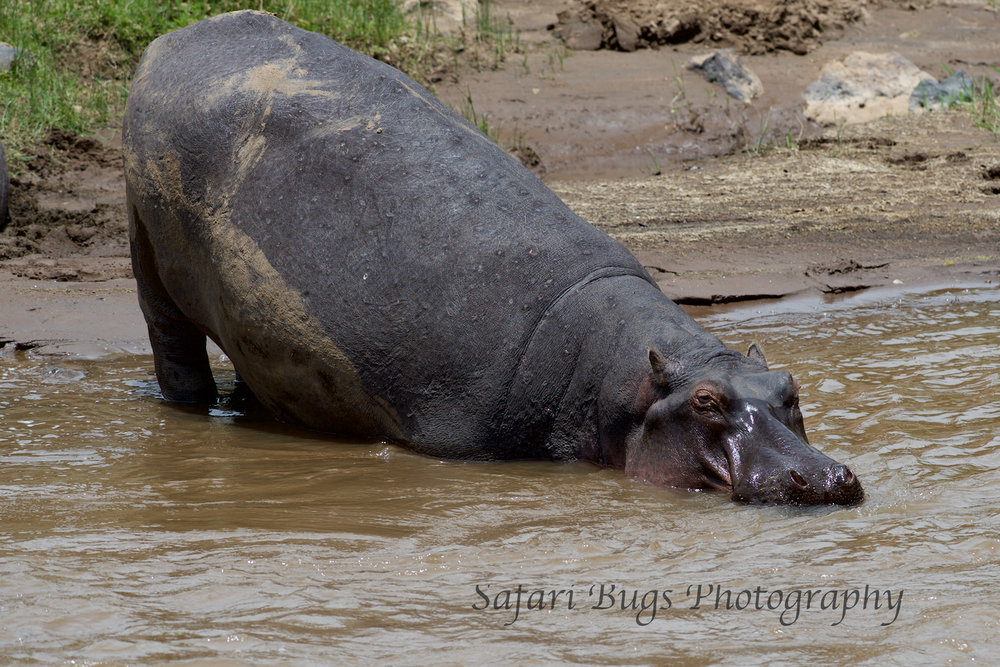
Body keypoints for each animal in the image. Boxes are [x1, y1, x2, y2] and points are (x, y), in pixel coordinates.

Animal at [125, 10, 860, 506]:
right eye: (706, 401)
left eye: (789, 388)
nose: (825, 475)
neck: (615, 381)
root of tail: (176, 39)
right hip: (148, 250)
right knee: (173, 347)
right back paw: (191, 407)